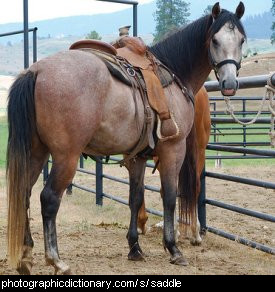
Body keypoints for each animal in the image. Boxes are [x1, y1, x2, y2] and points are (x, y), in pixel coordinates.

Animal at [138, 86, 211, 246]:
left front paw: (141, 223)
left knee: (168, 190)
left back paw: (175, 231)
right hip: (199, 152)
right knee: (195, 187)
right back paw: (195, 233)